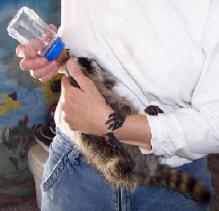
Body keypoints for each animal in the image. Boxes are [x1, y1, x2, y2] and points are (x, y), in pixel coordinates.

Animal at [66, 56, 210, 204]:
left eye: (84, 60)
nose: (71, 58)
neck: (93, 81)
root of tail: (149, 173)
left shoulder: (111, 95)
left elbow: (126, 106)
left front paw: (122, 112)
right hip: (107, 164)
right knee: (115, 167)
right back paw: (125, 156)